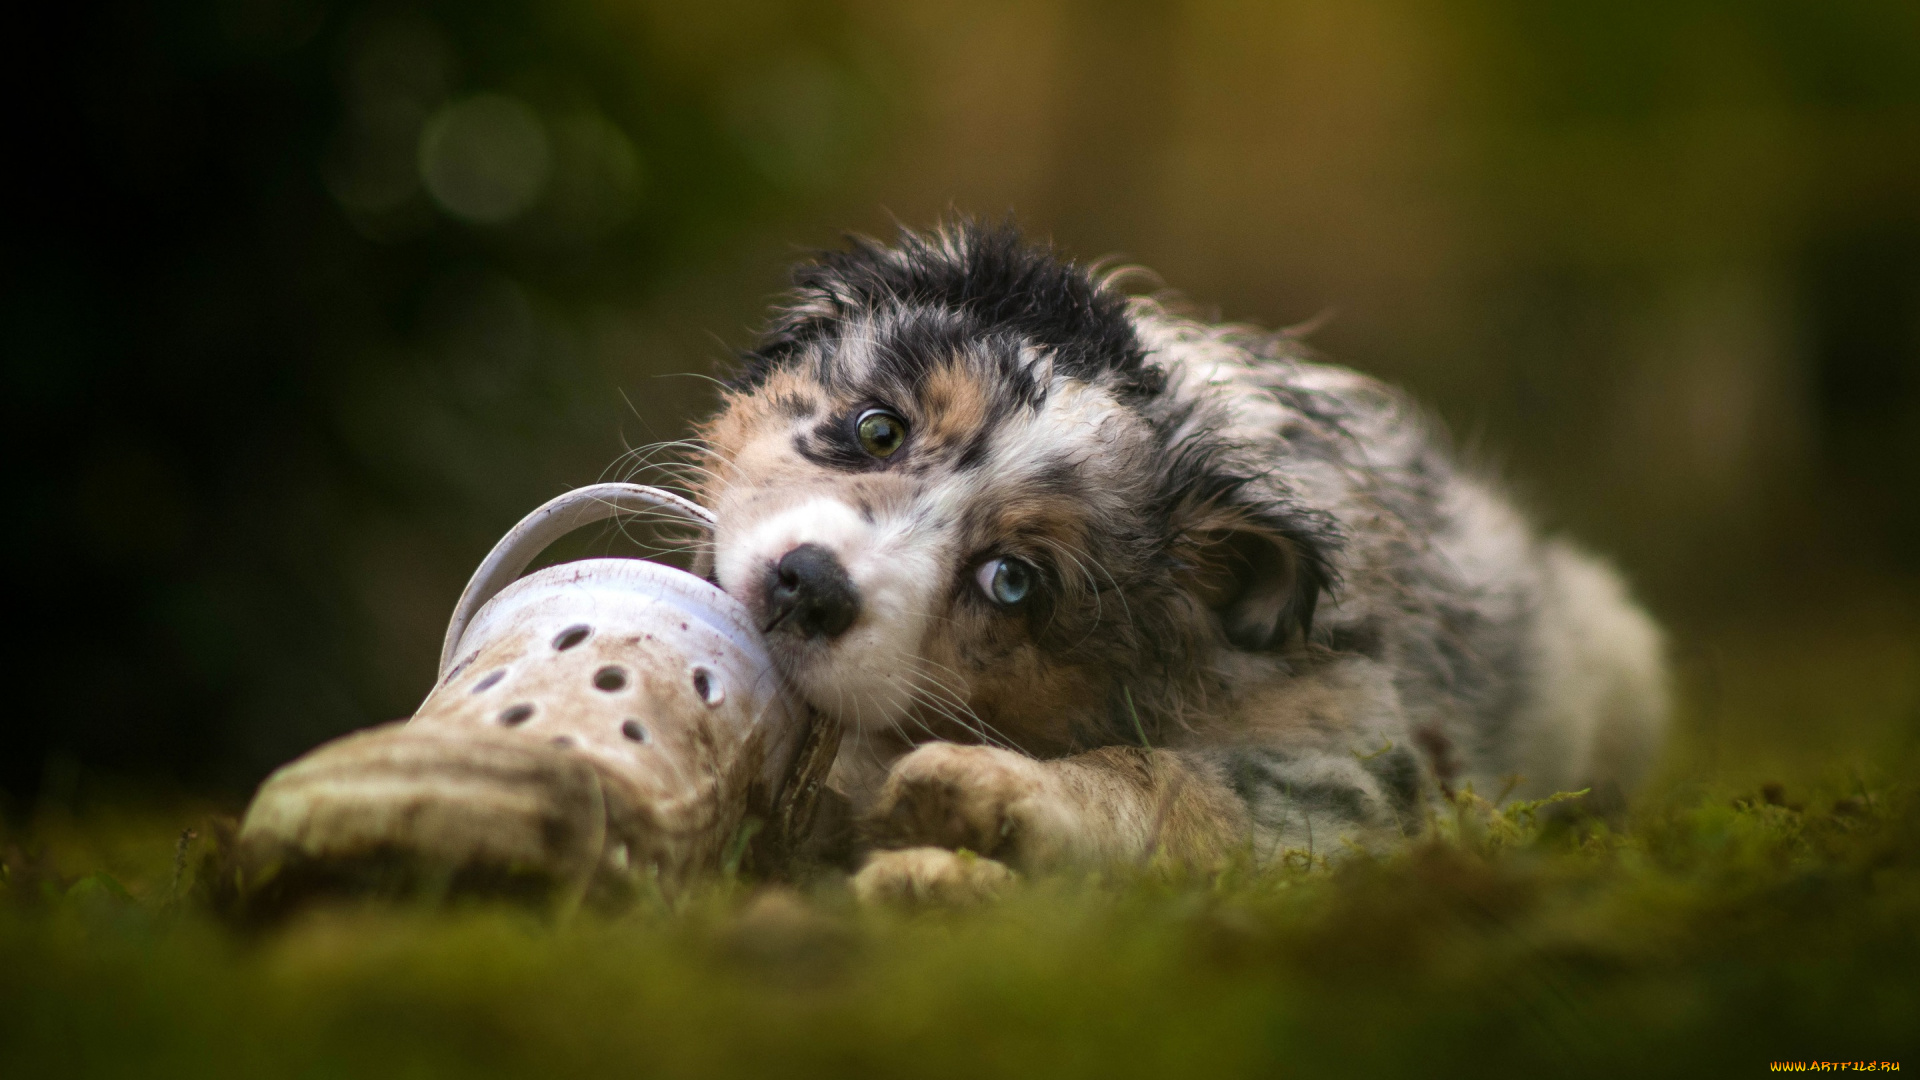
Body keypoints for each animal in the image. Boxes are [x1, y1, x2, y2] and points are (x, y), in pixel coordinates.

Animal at [691, 219, 1666, 891]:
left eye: (1012, 580)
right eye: (878, 430)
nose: (808, 588)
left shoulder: (1352, 781)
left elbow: (1169, 777)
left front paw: (981, 803)